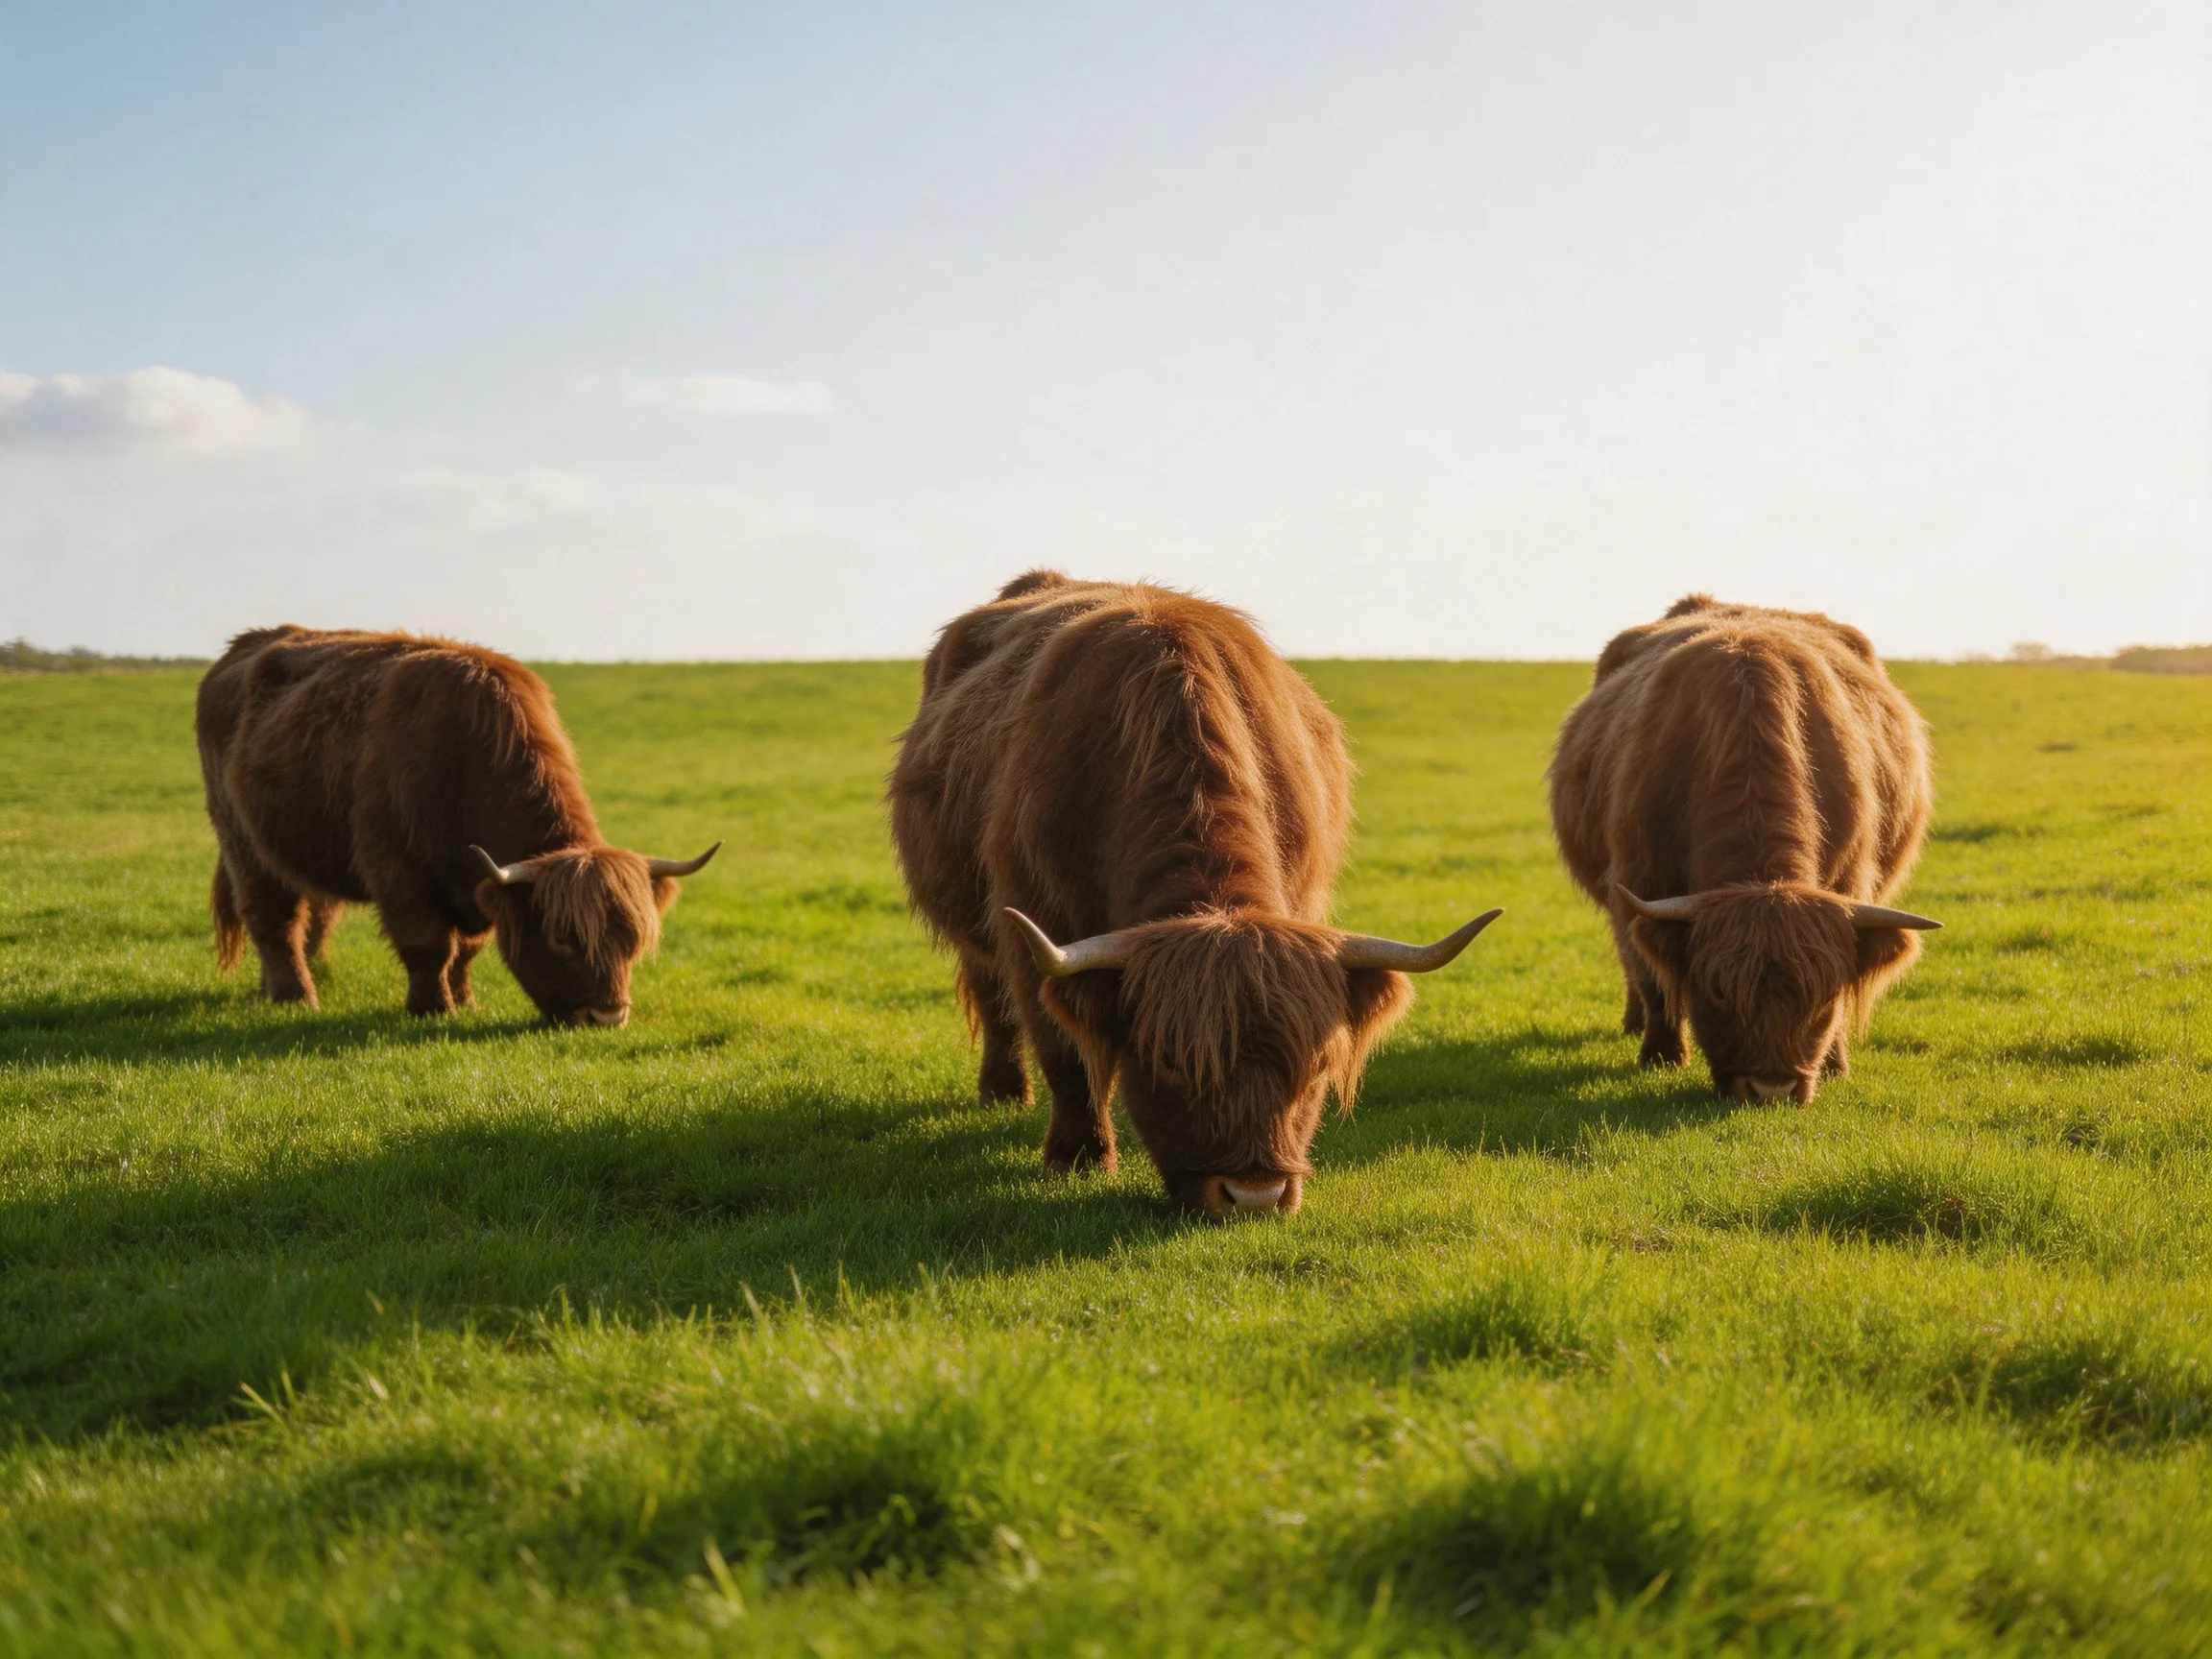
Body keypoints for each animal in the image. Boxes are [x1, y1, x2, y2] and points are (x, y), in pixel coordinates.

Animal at [196, 626, 718, 1026]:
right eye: (561, 938)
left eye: (632, 940)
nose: (607, 1016)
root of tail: (243, 646)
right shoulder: (399, 875)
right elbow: (429, 946)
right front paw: (433, 1009)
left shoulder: (478, 884)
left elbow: (467, 950)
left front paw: (465, 1001)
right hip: (243, 843)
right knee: (273, 920)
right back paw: (297, 998)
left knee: (307, 920)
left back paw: (271, 989)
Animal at [889, 571, 1500, 1216]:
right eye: (1170, 1063)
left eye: (1316, 1065)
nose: (1254, 1195)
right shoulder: (1033, 926)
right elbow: (1065, 1051)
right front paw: (1077, 1158)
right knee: (994, 999)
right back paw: (1004, 1093)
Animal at [1548, 595, 1939, 1103]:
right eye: (1717, 990)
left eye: (1823, 994)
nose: (1771, 1088)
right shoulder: (1636, 881)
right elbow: (1653, 977)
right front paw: (1661, 1056)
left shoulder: (1853, 883)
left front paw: (1836, 1065)